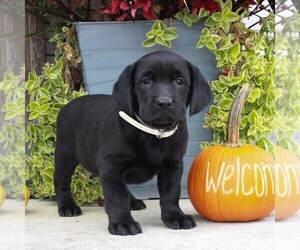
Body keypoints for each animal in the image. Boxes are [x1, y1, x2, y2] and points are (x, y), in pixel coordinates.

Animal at [54, 50, 211, 234]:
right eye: (146, 81)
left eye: (179, 81)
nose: (164, 102)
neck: (154, 132)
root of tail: (66, 106)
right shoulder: (111, 165)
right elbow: (117, 197)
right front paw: (122, 222)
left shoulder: (172, 165)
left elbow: (171, 193)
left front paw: (175, 216)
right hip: (65, 156)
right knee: (61, 182)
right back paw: (67, 206)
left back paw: (133, 201)